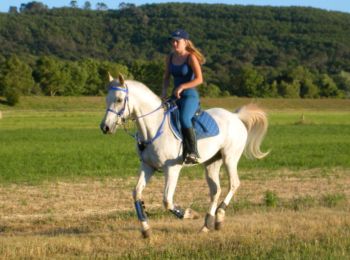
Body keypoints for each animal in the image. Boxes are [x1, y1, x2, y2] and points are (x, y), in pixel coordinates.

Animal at [100, 73, 270, 238]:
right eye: (107, 99)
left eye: (119, 99)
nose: (105, 127)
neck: (153, 129)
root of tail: (235, 116)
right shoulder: (147, 166)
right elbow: (136, 194)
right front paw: (145, 229)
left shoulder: (172, 169)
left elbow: (167, 201)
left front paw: (190, 214)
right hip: (212, 163)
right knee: (216, 190)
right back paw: (207, 224)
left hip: (230, 158)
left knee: (234, 184)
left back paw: (220, 217)